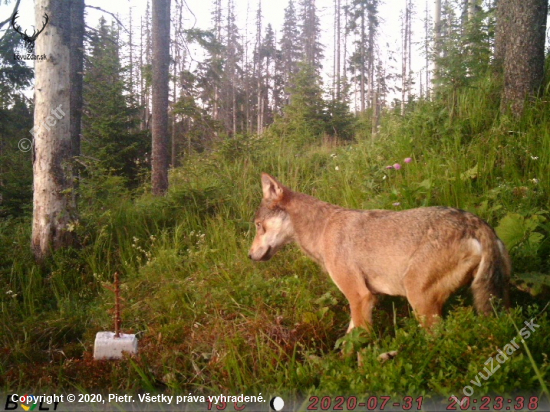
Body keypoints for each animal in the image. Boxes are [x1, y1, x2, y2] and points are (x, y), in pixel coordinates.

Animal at [250, 172, 512, 334]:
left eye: (258, 225)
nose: (250, 256)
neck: (322, 229)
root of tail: (476, 222)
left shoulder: (360, 297)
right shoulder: (368, 299)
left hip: (419, 299)